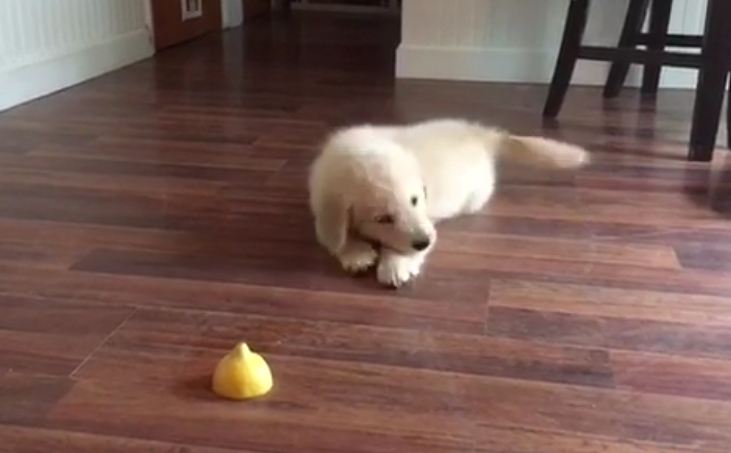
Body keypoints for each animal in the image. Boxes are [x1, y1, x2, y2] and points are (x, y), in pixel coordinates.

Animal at [308, 116, 588, 286]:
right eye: (383, 218)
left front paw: (396, 264)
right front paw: (355, 252)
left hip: (476, 196)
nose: (425, 242)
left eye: (414, 200)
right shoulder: (321, 202)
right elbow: (332, 235)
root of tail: (482, 135)